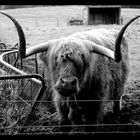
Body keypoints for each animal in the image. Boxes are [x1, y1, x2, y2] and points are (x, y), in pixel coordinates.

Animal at [1, 11, 140, 132]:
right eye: (56, 57)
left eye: (82, 58)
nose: (67, 83)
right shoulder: (61, 105)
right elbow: (64, 124)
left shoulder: (95, 105)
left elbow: (90, 126)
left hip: (120, 84)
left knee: (117, 98)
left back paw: (117, 112)